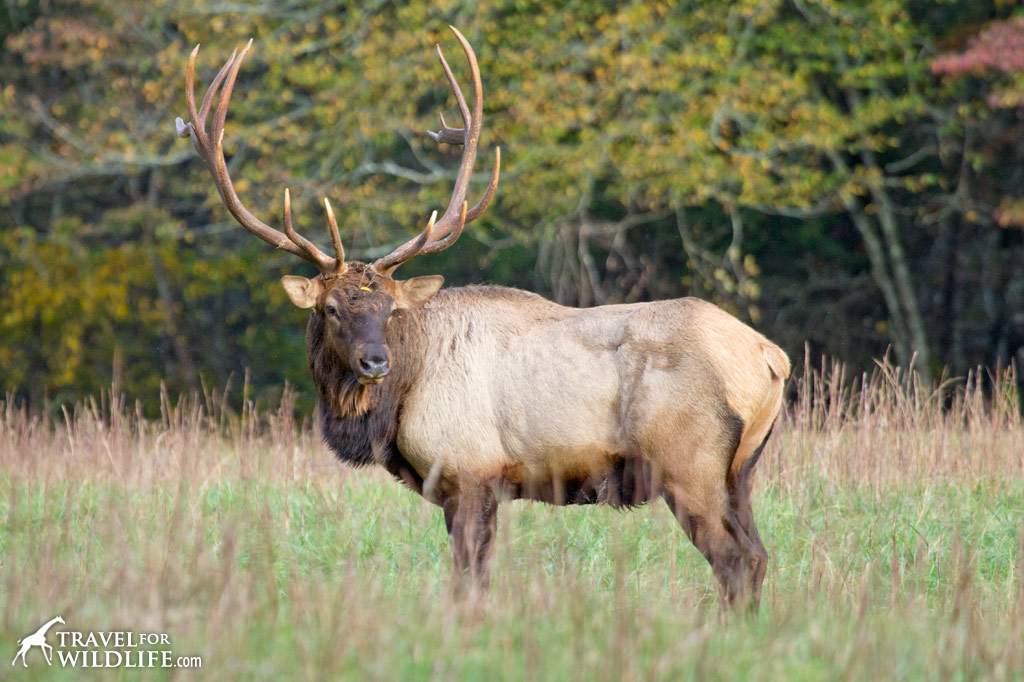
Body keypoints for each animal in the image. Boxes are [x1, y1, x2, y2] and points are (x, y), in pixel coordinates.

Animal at [176, 29, 790, 606]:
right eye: (330, 309)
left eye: (389, 309)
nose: (374, 362)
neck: (399, 398)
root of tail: (772, 357)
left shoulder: (468, 472)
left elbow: (467, 580)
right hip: (741, 472)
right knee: (759, 556)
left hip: (690, 464)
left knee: (734, 560)